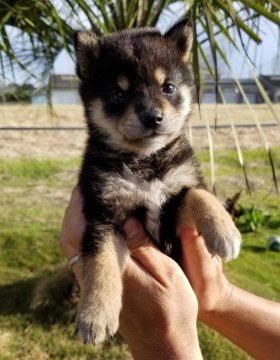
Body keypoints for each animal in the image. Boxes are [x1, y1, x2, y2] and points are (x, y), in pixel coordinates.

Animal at [74, 20, 241, 346]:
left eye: (168, 88)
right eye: (119, 94)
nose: (153, 117)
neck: (146, 163)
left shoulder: (175, 208)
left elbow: (198, 194)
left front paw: (224, 231)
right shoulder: (103, 214)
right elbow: (101, 265)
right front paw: (95, 314)